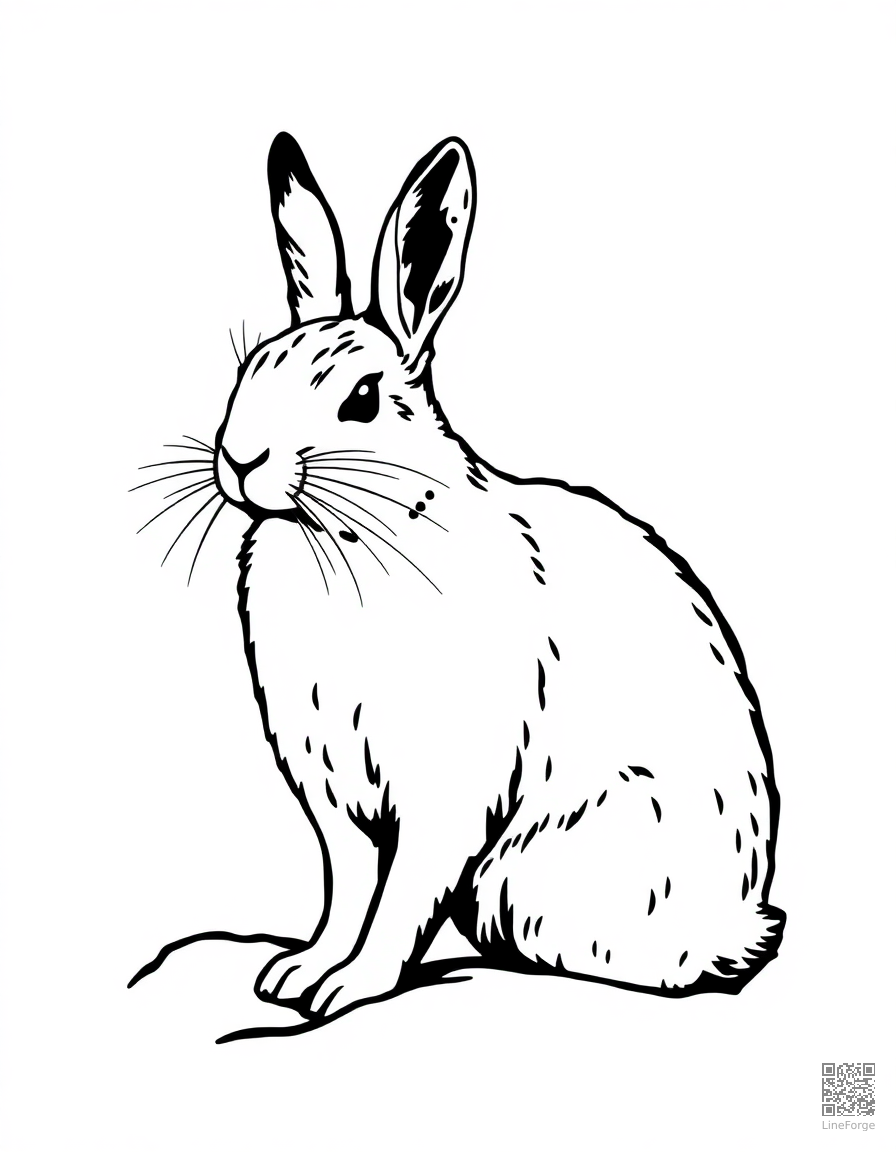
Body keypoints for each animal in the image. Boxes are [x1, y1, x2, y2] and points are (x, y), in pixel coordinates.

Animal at [201, 131, 785, 1020]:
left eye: (361, 399)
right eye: (252, 367)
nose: (239, 459)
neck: (349, 526)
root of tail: (728, 925)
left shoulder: (445, 785)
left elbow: (400, 895)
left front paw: (348, 986)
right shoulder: (332, 790)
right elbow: (347, 888)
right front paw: (298, 973)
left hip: (540, 868)